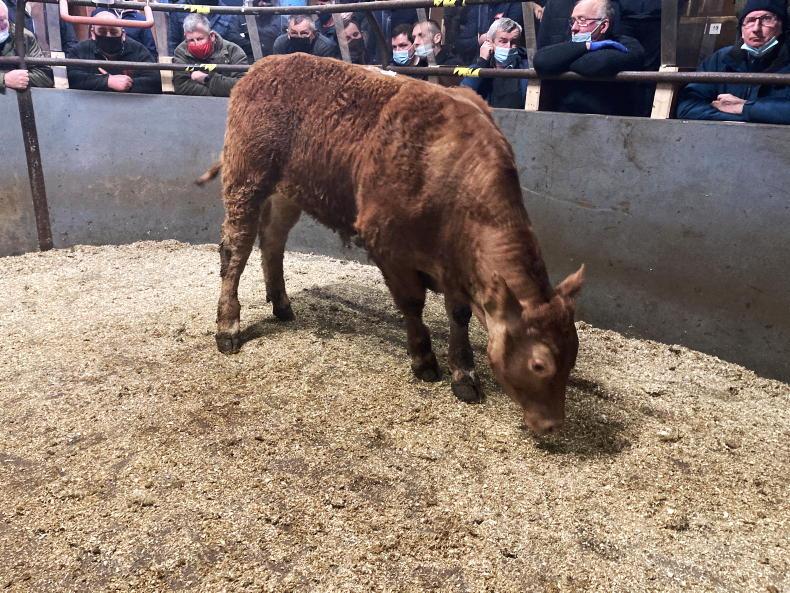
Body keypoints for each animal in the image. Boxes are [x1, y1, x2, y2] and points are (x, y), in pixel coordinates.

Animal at [200, 54, 584, 435]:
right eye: (539, 364)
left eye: (572, 356)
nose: (553, 424)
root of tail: (263, 66)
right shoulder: (388, 246)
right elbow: (412, 304)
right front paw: (424, 359)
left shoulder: (454, 262)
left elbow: (458, 315)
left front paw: (464, 375)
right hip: (246, 177)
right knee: (235, 251)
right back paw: (228, 326)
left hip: (288, 192)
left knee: (273, 241)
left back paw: (281, 303)